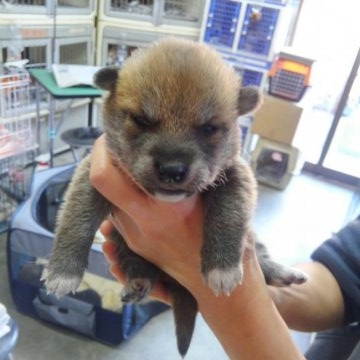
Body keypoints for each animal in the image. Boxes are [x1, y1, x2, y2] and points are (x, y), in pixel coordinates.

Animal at [42, 38, 306, 358]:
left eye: (209, 128)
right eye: (141, 120)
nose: (171, 169)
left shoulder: (236, 174)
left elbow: (228, 212)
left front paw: (222, 266)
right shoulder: (90, 176)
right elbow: (77, 220)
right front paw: (63, 270)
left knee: (262, 259)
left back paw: (281, 273)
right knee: (138, 265)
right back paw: (139, 280)